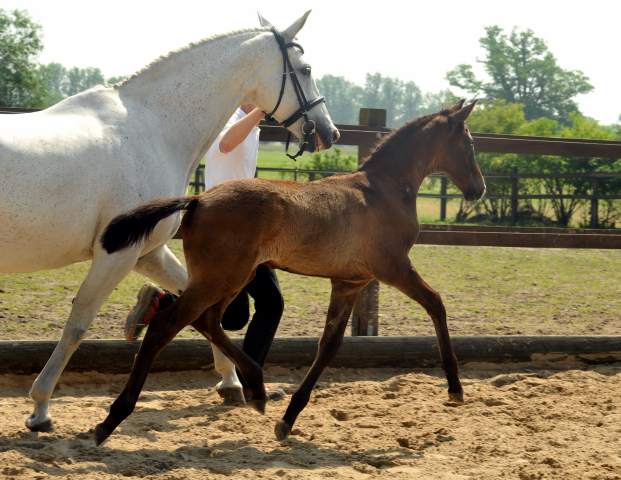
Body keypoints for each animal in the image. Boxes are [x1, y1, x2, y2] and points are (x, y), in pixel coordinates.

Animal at [0, 10, 336, 432]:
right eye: (305, 70)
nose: (327, 132)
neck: (153, 131)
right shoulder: (117, 254)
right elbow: (77, 324)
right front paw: (40, 409)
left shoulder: (149, 252)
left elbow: (201, 311)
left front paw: (232, 384)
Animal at [95, 99, 484, 444]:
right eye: (469, 144)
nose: (478, 189)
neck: (383, 189)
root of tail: (198, 200)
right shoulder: (393, 266)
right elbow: (436, 304)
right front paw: (455, 389)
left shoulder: (349, 282)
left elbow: (329, 346)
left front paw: (289, 419)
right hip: (222, 277)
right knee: (171, 324)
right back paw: (112, 418)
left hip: (232, 278)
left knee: (209, 320)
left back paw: (255, 386)